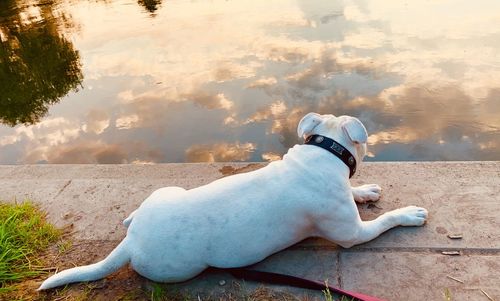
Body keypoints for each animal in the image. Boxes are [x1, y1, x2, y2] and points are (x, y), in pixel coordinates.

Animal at [39, 112, 428, 288]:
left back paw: (130, 216)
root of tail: (131, 243)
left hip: (165, 194)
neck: (323, 152)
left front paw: (365, 191)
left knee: (131, 215)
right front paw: (409, 213)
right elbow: (385, 220)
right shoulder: (353, 235)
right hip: (178, 270)